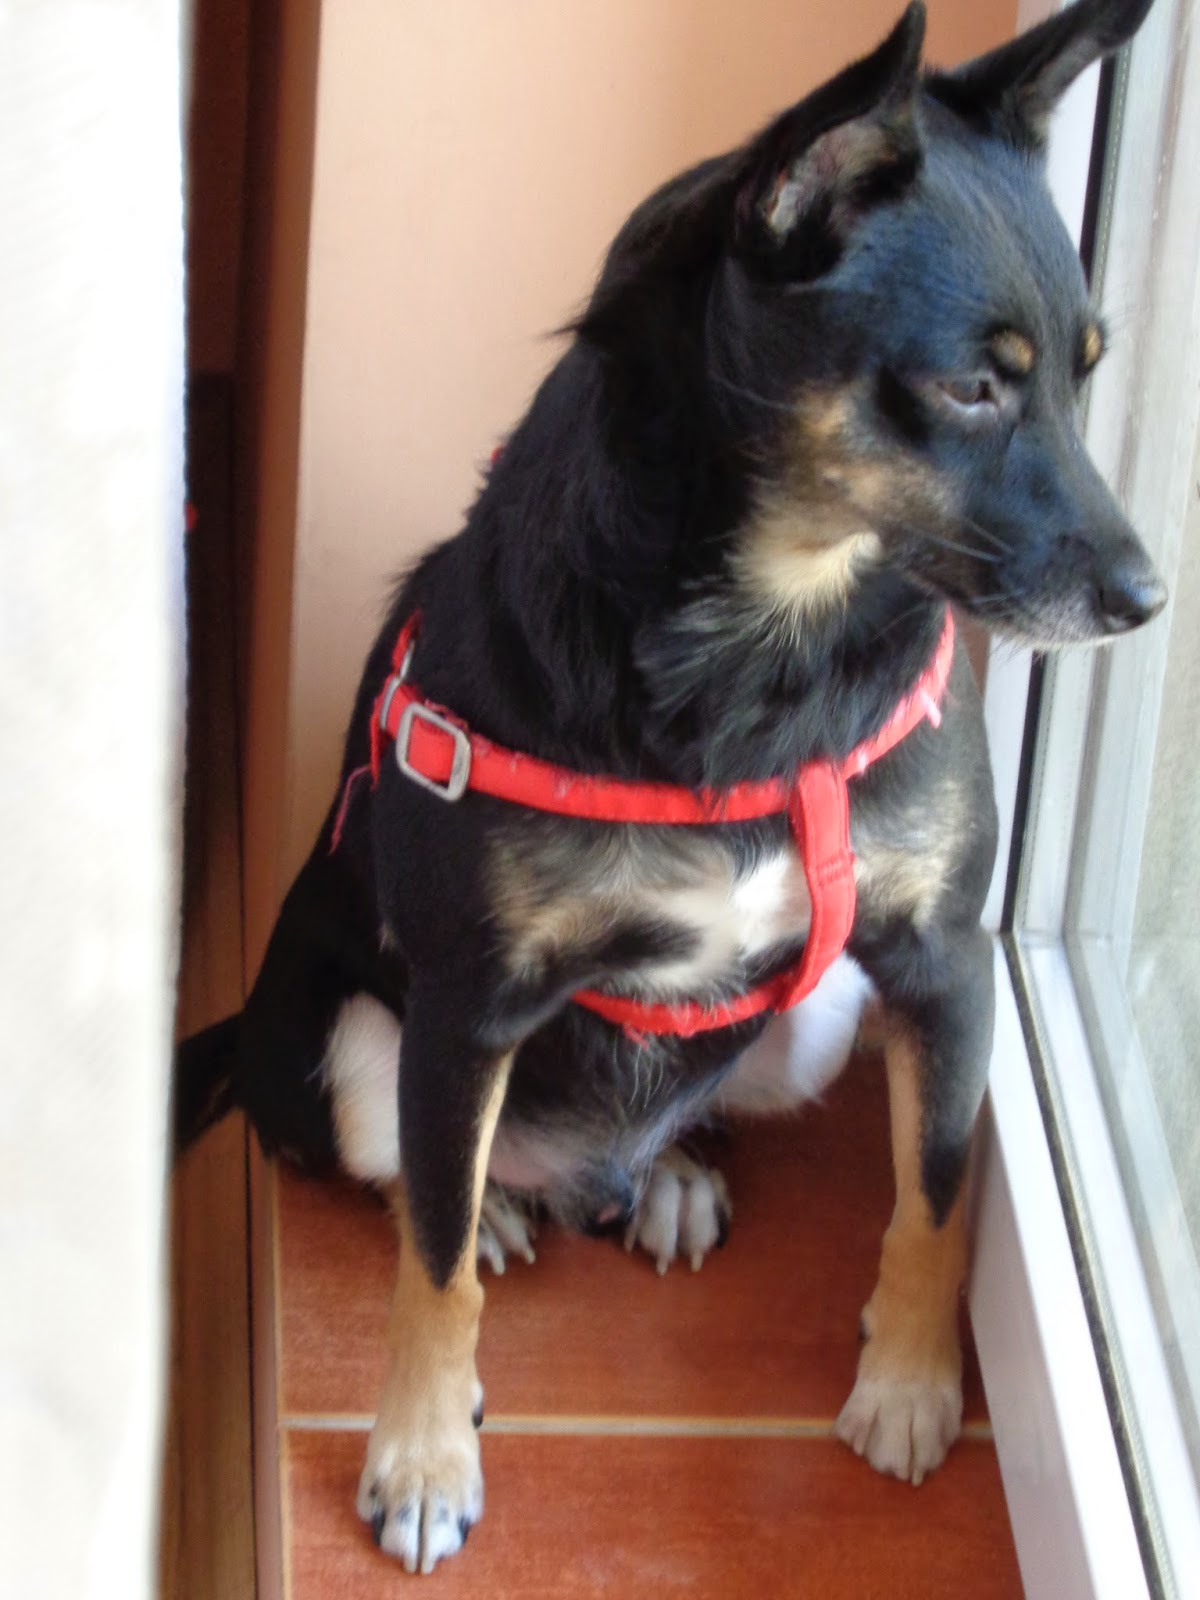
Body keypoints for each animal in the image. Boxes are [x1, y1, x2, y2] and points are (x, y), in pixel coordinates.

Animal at [176, 0, 1164, 1575]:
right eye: (970, 384)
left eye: (1086, 371)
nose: (1146, 600)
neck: (769, 635)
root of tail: (586, 1172)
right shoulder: (471, 1002)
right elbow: (431, 1276)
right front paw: (421, 1455)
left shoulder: (943, 958)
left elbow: (939, 1190)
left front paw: (909, 1382)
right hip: (341, 1049)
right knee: (426, 1184)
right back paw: (505, 1212)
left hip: (818, 1021)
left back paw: (677, 1168)